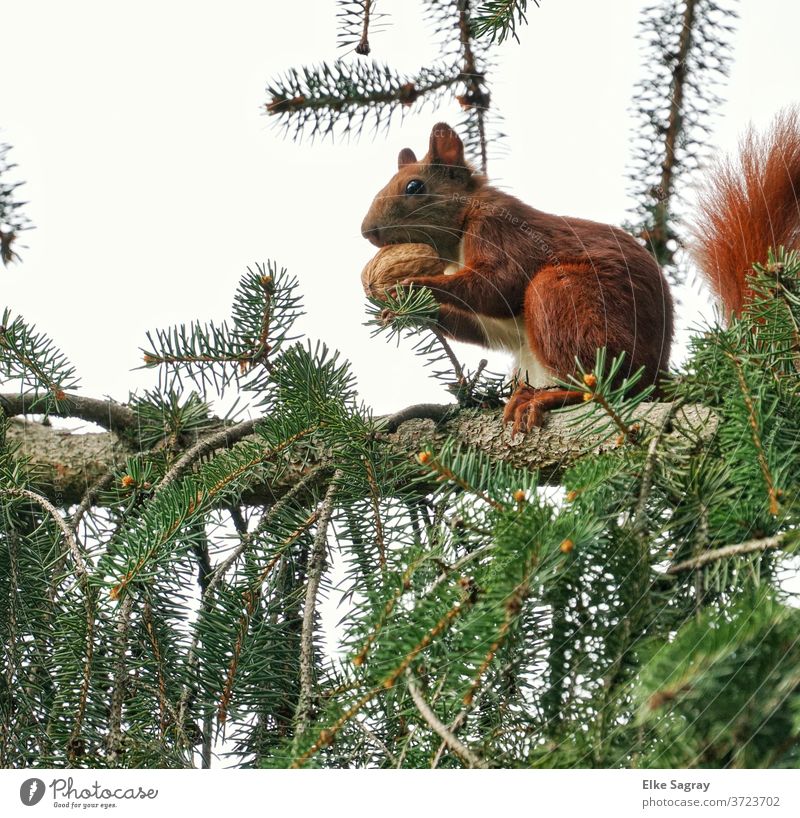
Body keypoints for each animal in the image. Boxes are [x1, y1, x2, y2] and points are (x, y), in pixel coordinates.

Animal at [360, 114, 800, 434]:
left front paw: (413, 285)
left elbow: (497, 286)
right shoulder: (502, 325)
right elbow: (490, 327)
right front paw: (402, 311)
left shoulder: (501, 232)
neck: (462, 227)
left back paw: (545, 398)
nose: (366, 232)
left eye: (414, 186)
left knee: (603, 389)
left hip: (565, 297)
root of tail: (656, 375)